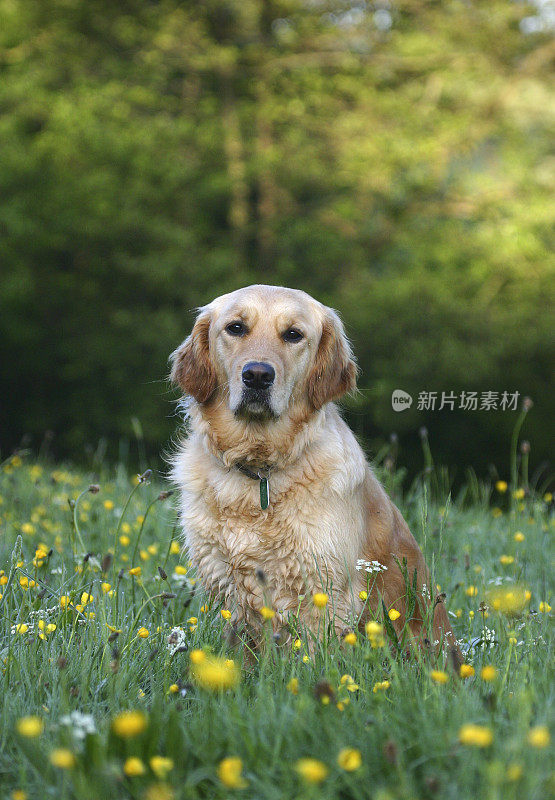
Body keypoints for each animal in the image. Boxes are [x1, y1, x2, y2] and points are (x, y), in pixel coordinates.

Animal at [168, 282, 460, 664]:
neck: (261, 470)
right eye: (236, 328)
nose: (257, 375)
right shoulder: (228, 586)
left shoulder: (323, 587)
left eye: (293, 335)